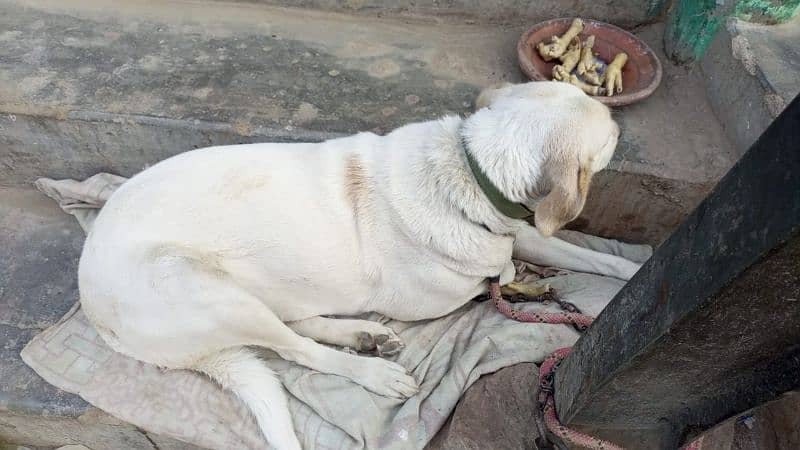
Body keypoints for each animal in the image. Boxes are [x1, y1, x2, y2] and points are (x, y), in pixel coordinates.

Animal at [79, 81, 644, 450]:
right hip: (199, 286)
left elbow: (582, 255)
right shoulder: (438, 293)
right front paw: (514, 281)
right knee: (295, 350)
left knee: (294, 323)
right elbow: (491, 277)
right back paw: (371, 369)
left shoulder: (519, 232)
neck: (467, 171)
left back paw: (361, 335)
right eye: (607, 136)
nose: (621, 125)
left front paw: (634, 274)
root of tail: (92, 308)